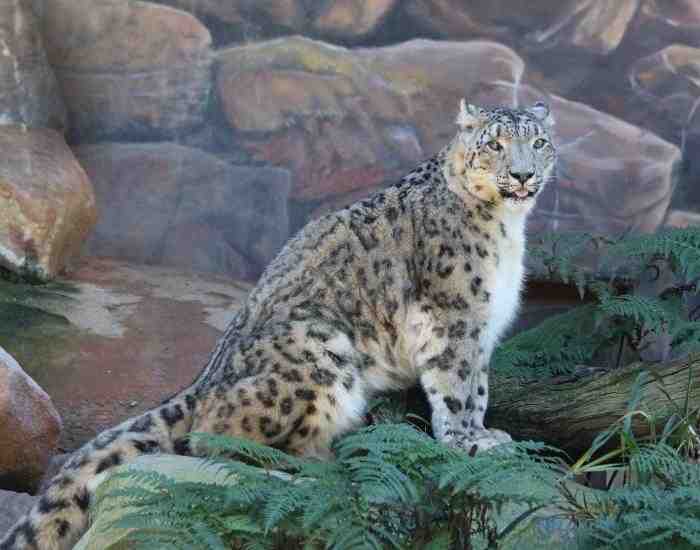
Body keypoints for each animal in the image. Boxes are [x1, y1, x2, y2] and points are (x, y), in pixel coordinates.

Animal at [0, 99, 556, 550]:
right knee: (213, 437)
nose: (523, 176)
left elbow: (478, 389)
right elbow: (456, 388)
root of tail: (206, 377)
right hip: (321, 350)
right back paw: (313, 461)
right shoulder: (453, 317)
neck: (507, 230)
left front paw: (486, 433)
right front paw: (467, 441)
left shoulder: (482, 328)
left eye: (539, 142)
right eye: (495, 145)